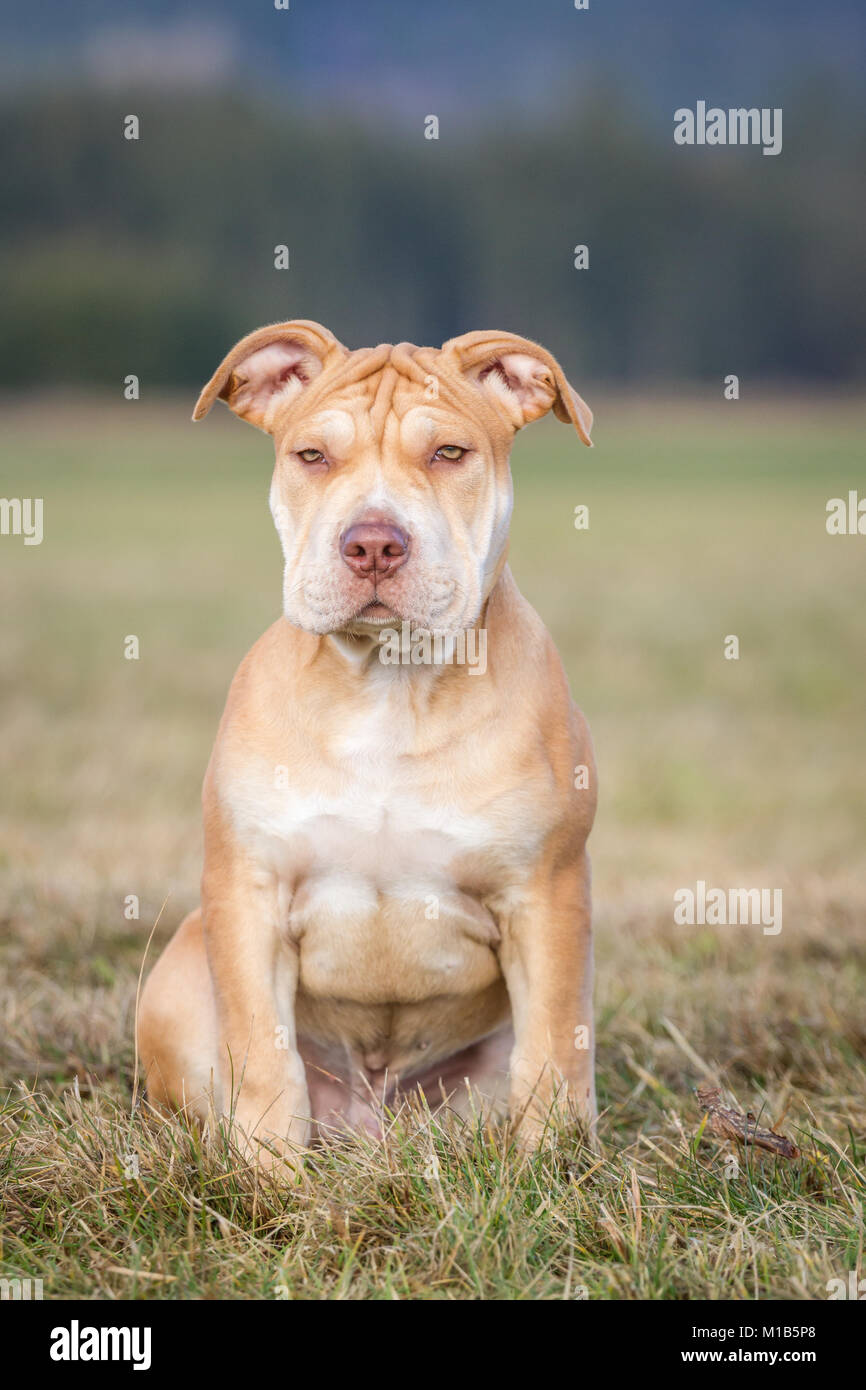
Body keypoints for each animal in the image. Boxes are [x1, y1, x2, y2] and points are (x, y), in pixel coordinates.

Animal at [136, 322, 594, 1162]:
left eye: (449, 453)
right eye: (312, 456)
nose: (373, 544)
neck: (389, 686)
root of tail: (371, 1120)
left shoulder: (546, 895)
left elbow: (552, 1052)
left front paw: (549, 1168)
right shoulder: (248, 894)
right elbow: (265, 1058)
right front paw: (271, 1179)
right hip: (182, 976)